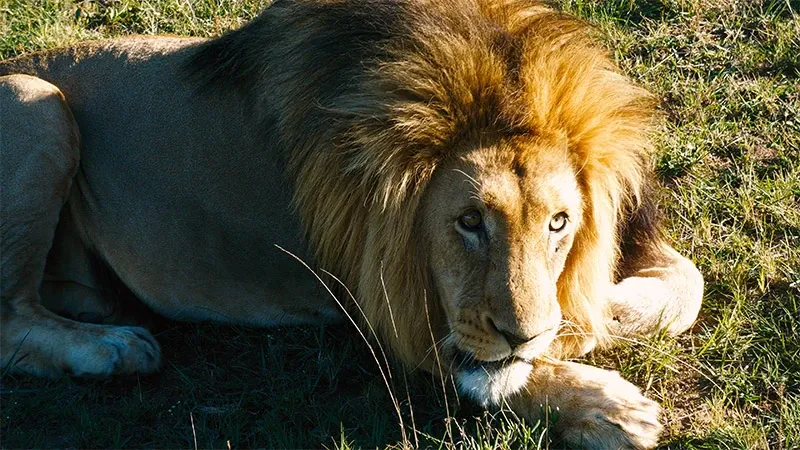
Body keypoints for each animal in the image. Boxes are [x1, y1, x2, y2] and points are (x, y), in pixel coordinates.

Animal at [0, 0, 703, 447]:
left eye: (559, 222)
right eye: (468, 221)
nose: (523, 336)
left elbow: (684, 285)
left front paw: (595, 312)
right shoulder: (384, 300)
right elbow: (485, 371)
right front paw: (608, 408)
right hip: (36, 101)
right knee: (11, 322)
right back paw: (114, 348)